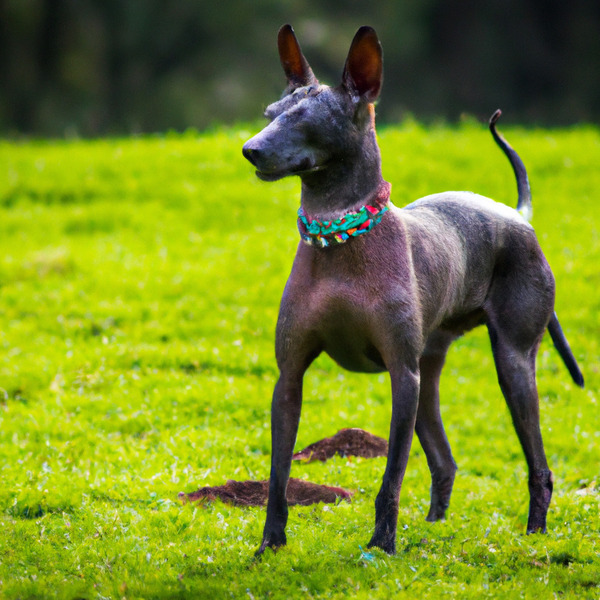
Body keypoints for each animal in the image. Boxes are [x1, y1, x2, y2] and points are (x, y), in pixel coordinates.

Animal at [240, 24, 580, 556]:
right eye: (270, 114)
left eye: (307, 119)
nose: (249, 149)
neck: (340, 238)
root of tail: (516, 214)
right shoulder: (289, 378)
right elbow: (278, 476)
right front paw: (270, 545)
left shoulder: (402, 376)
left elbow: (392, 476)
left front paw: (381, 545)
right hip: (429, 371)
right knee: (445, 462)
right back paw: (435, 526)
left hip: (510, 363)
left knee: (539, 467)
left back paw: (534, 534)